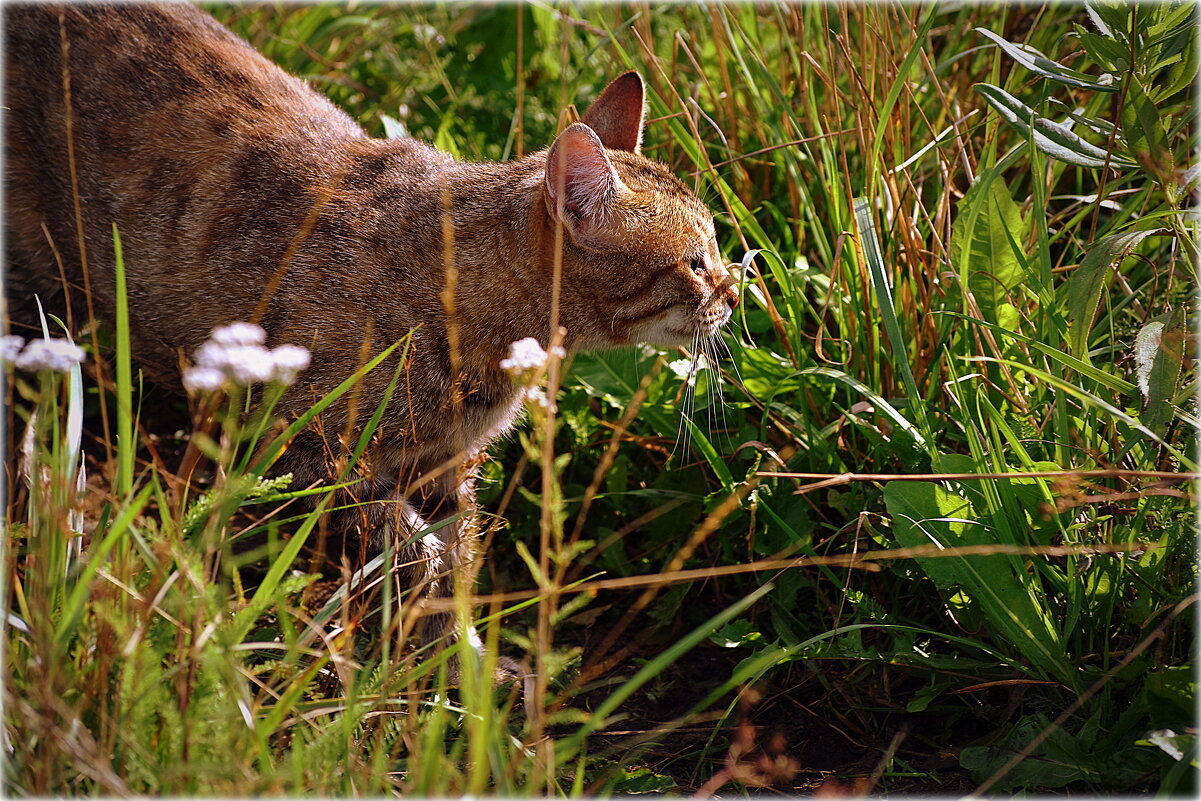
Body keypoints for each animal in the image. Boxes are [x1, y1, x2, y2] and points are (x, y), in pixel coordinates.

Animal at [4, 3, 735, 672]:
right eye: (696, 262)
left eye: (717, 248)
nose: (736, 290)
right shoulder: (311, 452)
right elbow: (414, 554)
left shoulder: (444, 464)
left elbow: (453, 562)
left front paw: (458, 665)